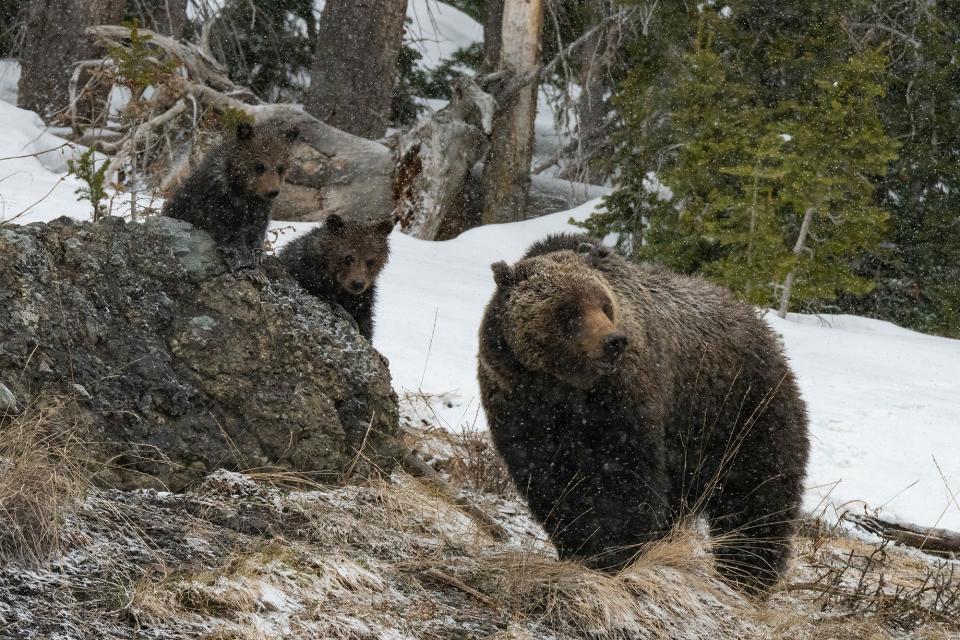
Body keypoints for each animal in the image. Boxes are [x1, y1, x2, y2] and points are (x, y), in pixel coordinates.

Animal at [160, 119, 300, 276]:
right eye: (259, 166)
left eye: (280, 168)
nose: (272, 191)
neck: (244, 190)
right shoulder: (222, 200)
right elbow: (231, 235)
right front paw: (247, 267)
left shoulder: (260, 207)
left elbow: (257, 229)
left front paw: (258, 255)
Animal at [476, 235, 808, 596]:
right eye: (567, 309)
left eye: (604, 305)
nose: (614, 341)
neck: (561, 388)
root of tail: (763, 329)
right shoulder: (520, 408)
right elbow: (550, 482)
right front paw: (579, 547)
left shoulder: (622, 402)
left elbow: (625, 479)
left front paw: (614, 553)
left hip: (741, 410)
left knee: (757, 494)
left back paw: (747, 575)